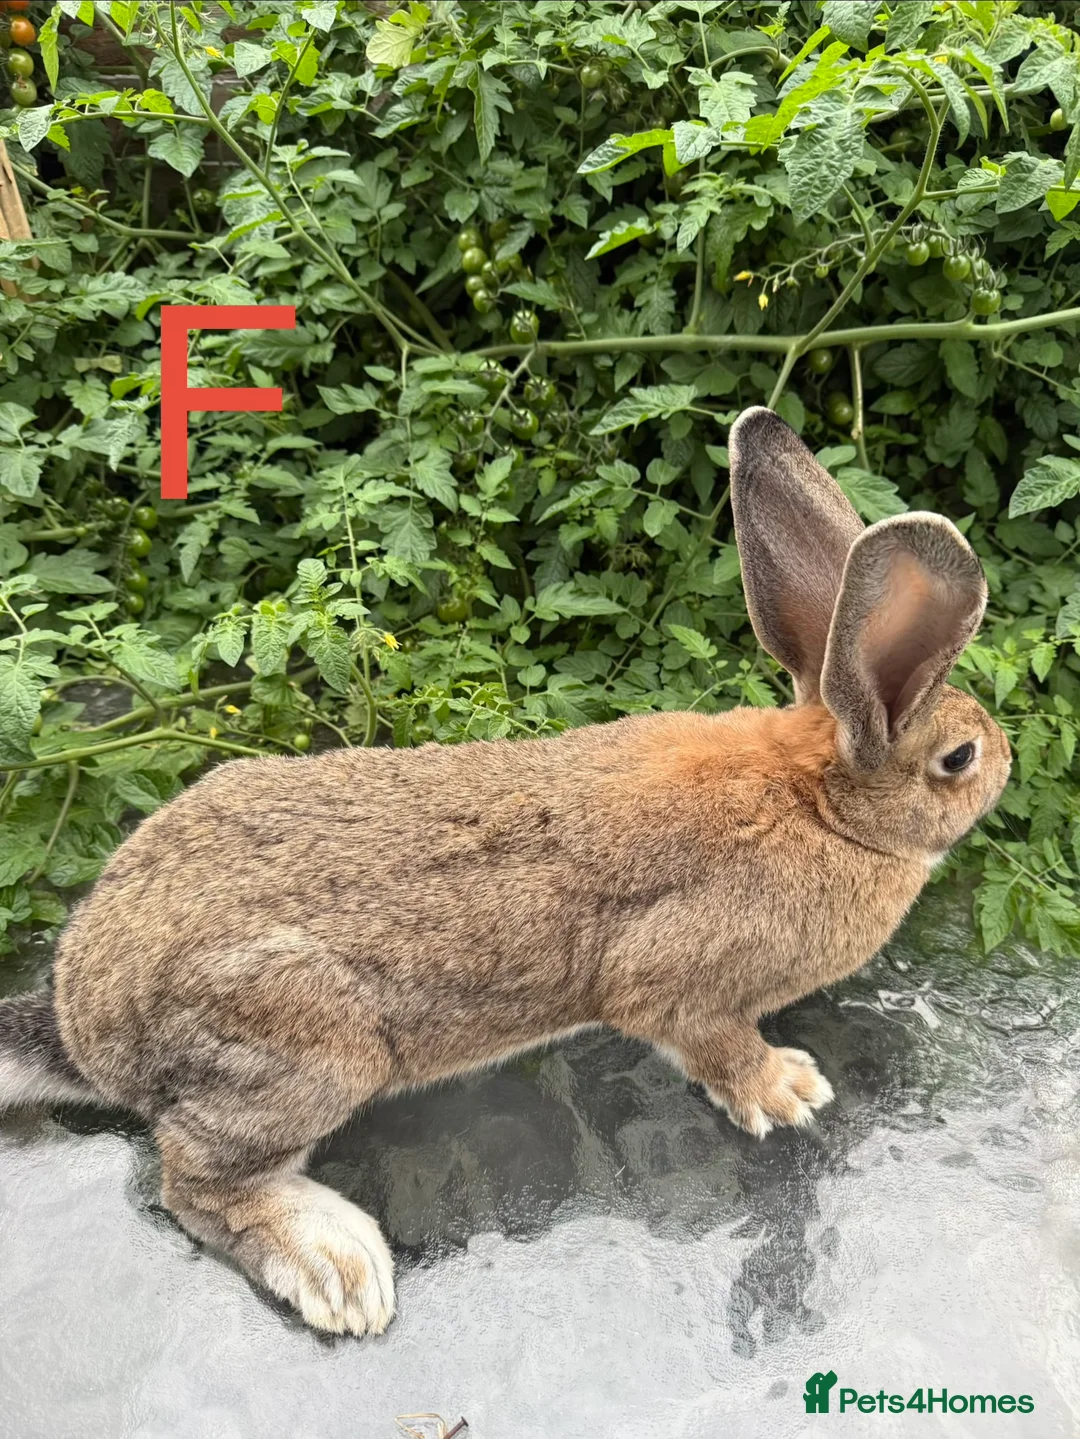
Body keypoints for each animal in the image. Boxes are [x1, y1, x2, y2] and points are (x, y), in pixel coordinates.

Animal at [0, 406, 1010, 1338]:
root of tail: (86, 1022)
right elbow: (710, 1040)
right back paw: (335, 1263)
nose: (1003, 760)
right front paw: (787, 1089)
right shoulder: (679, 982)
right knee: (194, 1183)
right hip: (304, 1049)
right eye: (958, 757)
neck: (820, 800)